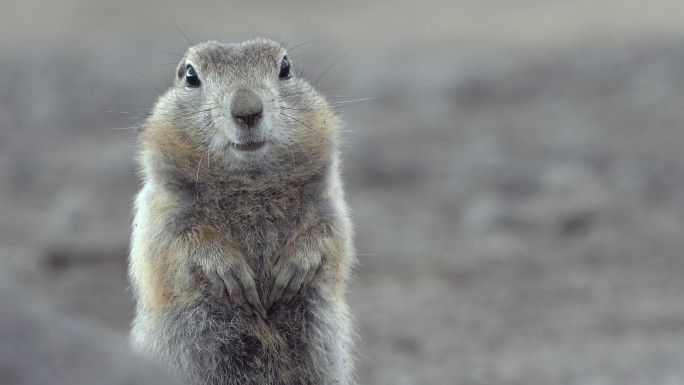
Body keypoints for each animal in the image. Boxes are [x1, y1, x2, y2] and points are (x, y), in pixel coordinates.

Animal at [127, 37, 358, 382]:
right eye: (191, 76)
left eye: (285, 67)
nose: (247, 111)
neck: (249, 184)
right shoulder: (161, 209)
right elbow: (175, 238)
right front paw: (230, 271)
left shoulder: (328, 200)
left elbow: (331, 231)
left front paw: (293, 269)